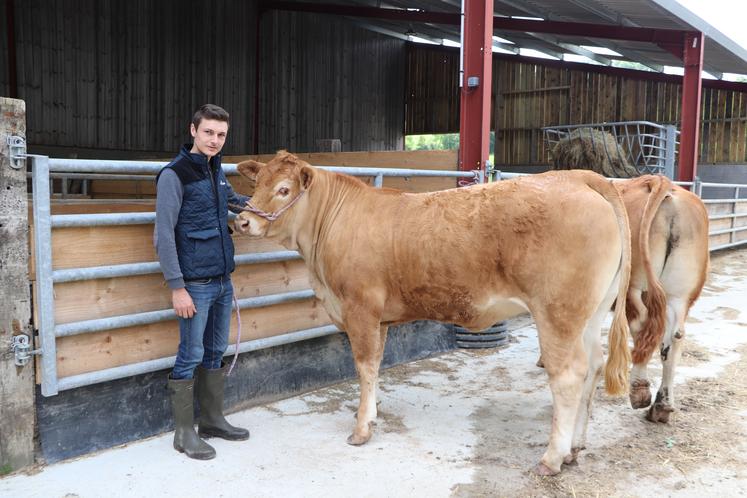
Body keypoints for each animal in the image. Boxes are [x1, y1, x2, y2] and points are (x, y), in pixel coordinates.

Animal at [234, 152, 632, 474]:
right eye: (258, 183)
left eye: (284, 189)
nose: (242, 222)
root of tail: (578, 177)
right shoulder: (380, 317)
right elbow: (375, 366)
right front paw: (371, 411)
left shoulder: (360, 308)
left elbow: (363, 365)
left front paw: (361, 428)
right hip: (590, 314)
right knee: (593, 366)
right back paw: (575, 448)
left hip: (557, 313)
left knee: (568, 375)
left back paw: (552, 457)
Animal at [624, 174, 712, 420]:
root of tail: (661, 181)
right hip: (679, 294)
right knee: (674, 338)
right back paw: (662, 406)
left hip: (634, 286)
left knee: (642, 324)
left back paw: (640, 391)